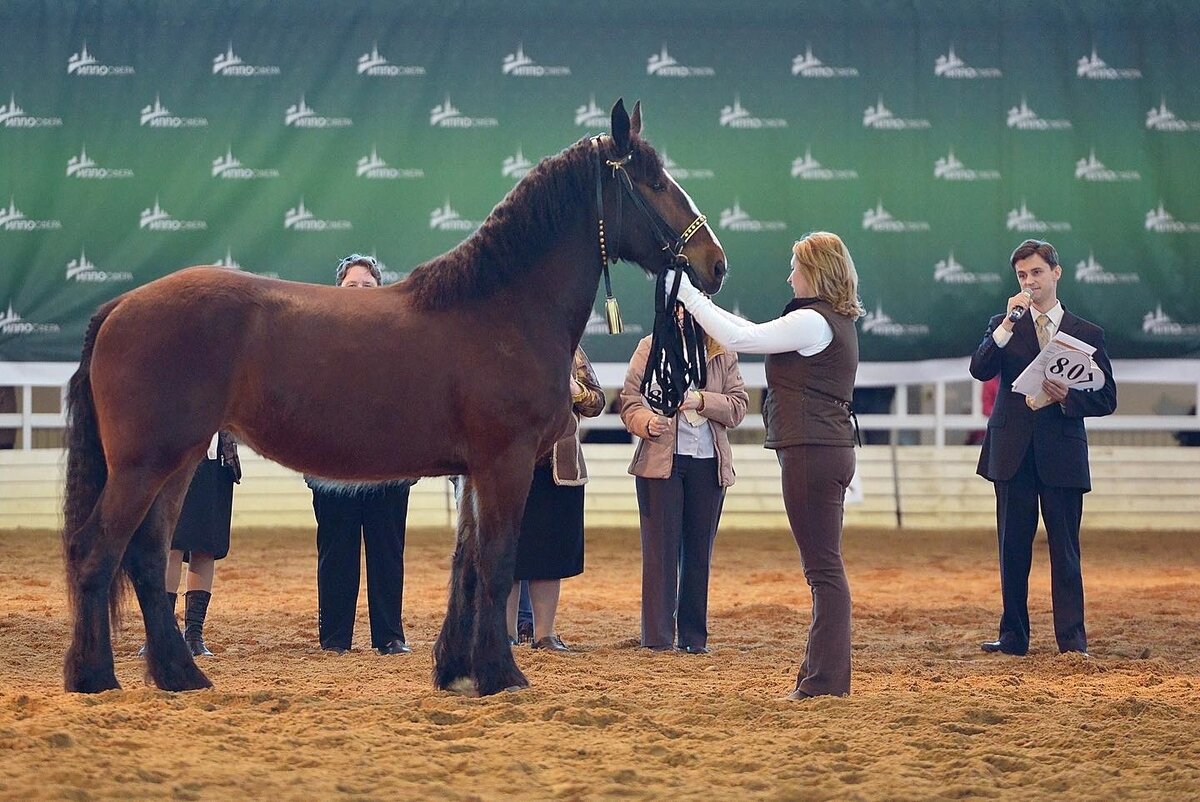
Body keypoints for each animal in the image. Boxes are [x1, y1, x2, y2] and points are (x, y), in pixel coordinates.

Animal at [60, 98, 724, 696]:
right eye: (654, 181)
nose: (714, 263)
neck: (502, 307)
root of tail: (120, 305)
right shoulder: (505, 463)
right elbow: (497, 563)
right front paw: (501, 675)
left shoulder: (474, 471)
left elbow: (467, 566)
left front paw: (456, 671)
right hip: (145, 464)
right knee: (100, 552)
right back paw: (95, 678)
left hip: (175, 462)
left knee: (147, 559)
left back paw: (180, 675)